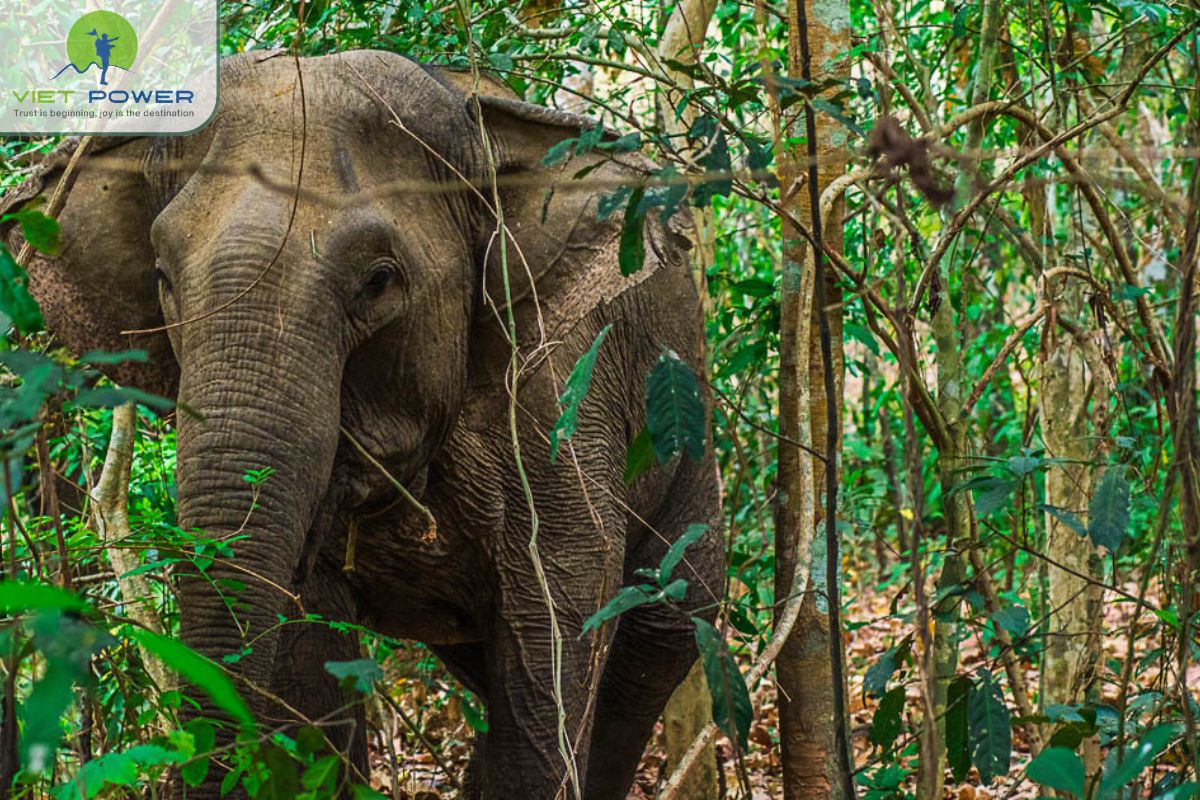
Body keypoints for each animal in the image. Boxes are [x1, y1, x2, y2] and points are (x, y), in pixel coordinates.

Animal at [1, 49, 723, 799]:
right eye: (164, 277)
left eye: (377, 281)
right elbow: (311, 668)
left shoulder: (561, 400)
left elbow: (554, 628)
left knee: (656, 642)